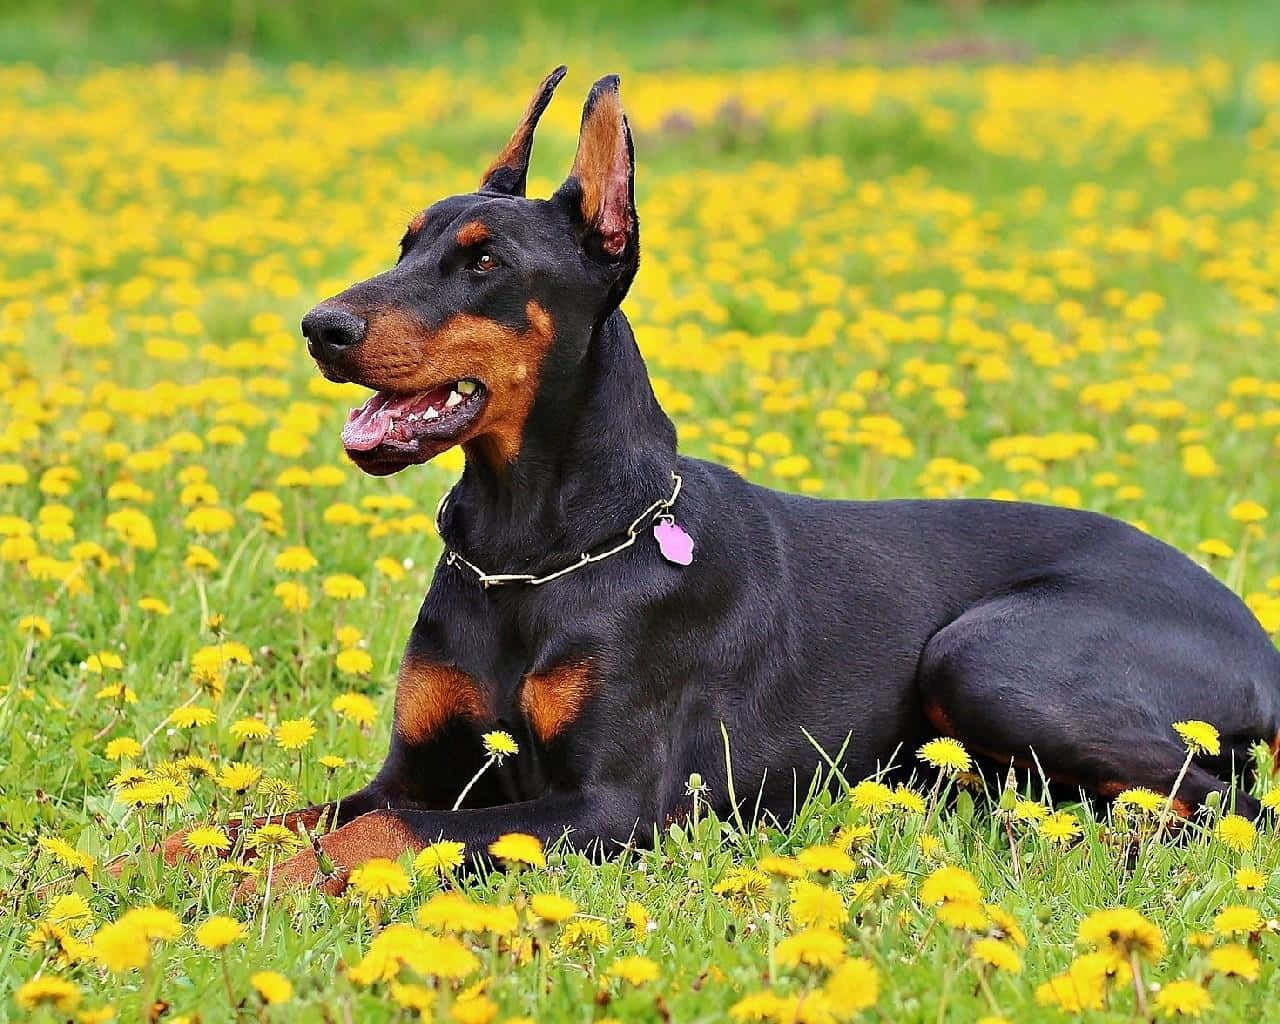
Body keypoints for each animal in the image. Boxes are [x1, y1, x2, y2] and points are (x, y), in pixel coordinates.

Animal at [252, 67, 1280, 890]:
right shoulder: (416, 767)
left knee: (1224, 800)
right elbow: (272, 817)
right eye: (406, 244)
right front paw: (223, 860)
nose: (320, 327)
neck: (532, 551)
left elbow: (385, 833)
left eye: (484, 260)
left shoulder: (611, 807)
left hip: (985, 655)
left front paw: (272, 888)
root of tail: (1259, 640)